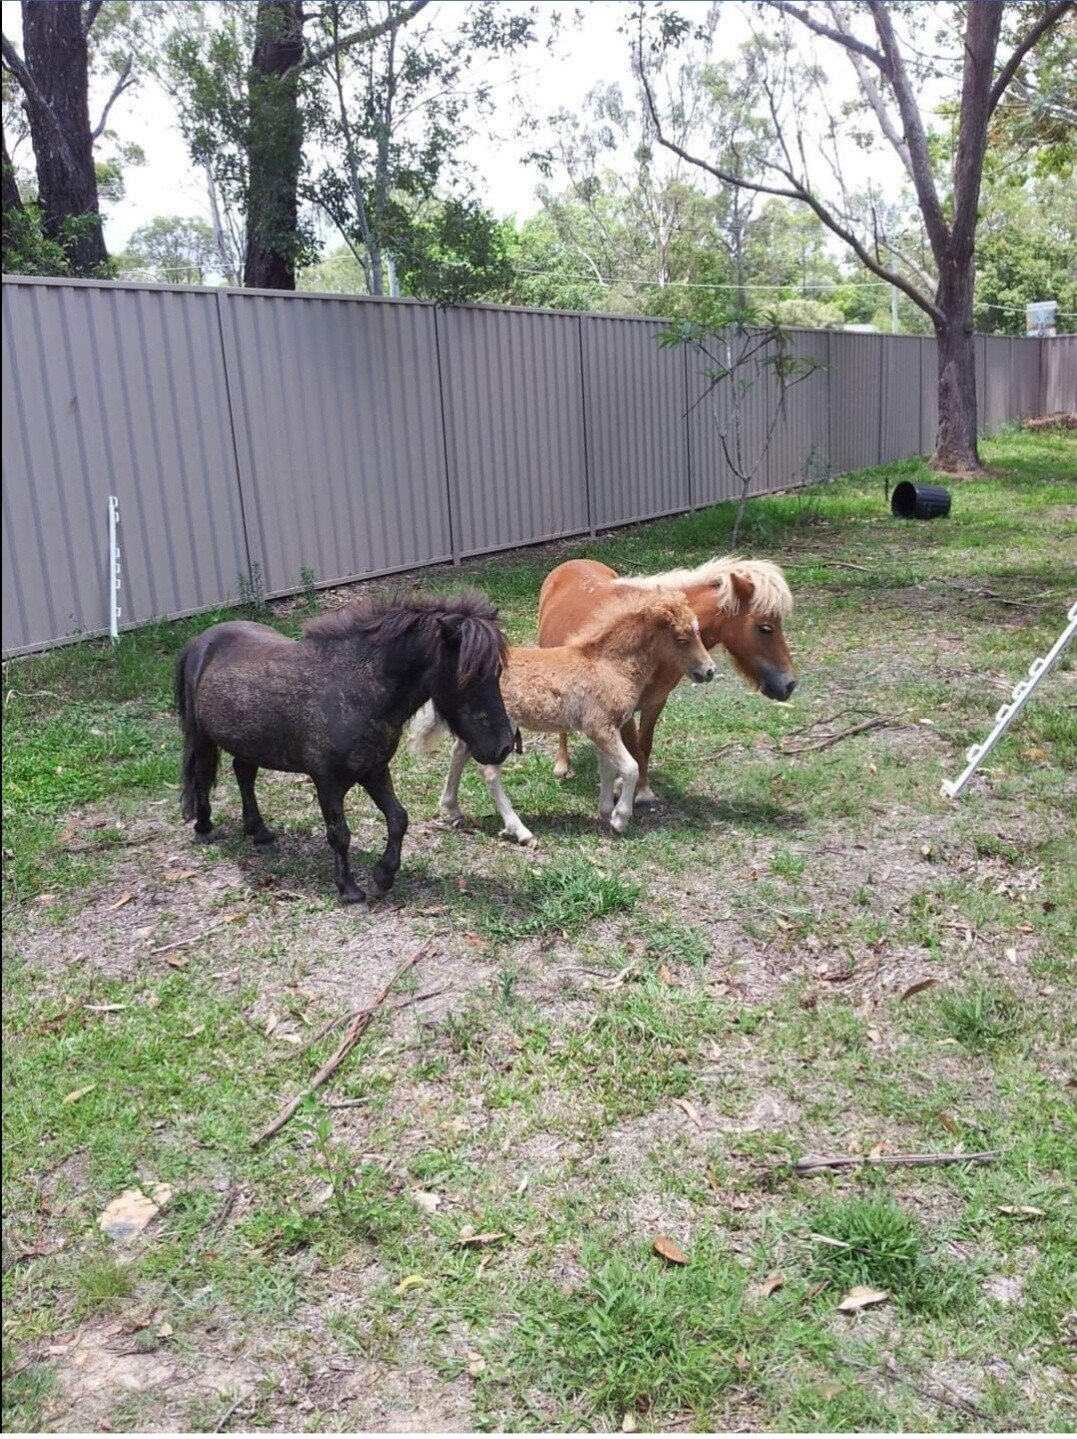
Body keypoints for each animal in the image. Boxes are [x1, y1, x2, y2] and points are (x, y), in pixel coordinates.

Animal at [174, 589, 515, 903]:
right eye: (469, 677)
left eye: (497, 671)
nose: (504, 747)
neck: (354, 692)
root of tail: (200, 642)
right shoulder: (326, 780)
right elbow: (339, 834)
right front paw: (350, 890)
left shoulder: (375, 770)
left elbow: (398, 819)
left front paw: (382, 877)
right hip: (202, 738)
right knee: (202, 776)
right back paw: (203, 827)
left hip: (250, 742)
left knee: (244, 774)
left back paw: (259, 832)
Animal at [538, 555, 800, 805]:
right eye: (765, 627)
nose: (790, 684)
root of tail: (570, 564)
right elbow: (634, 748)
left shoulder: (656, 702)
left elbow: (644, 745)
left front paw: (640, 789)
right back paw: (562, 765)